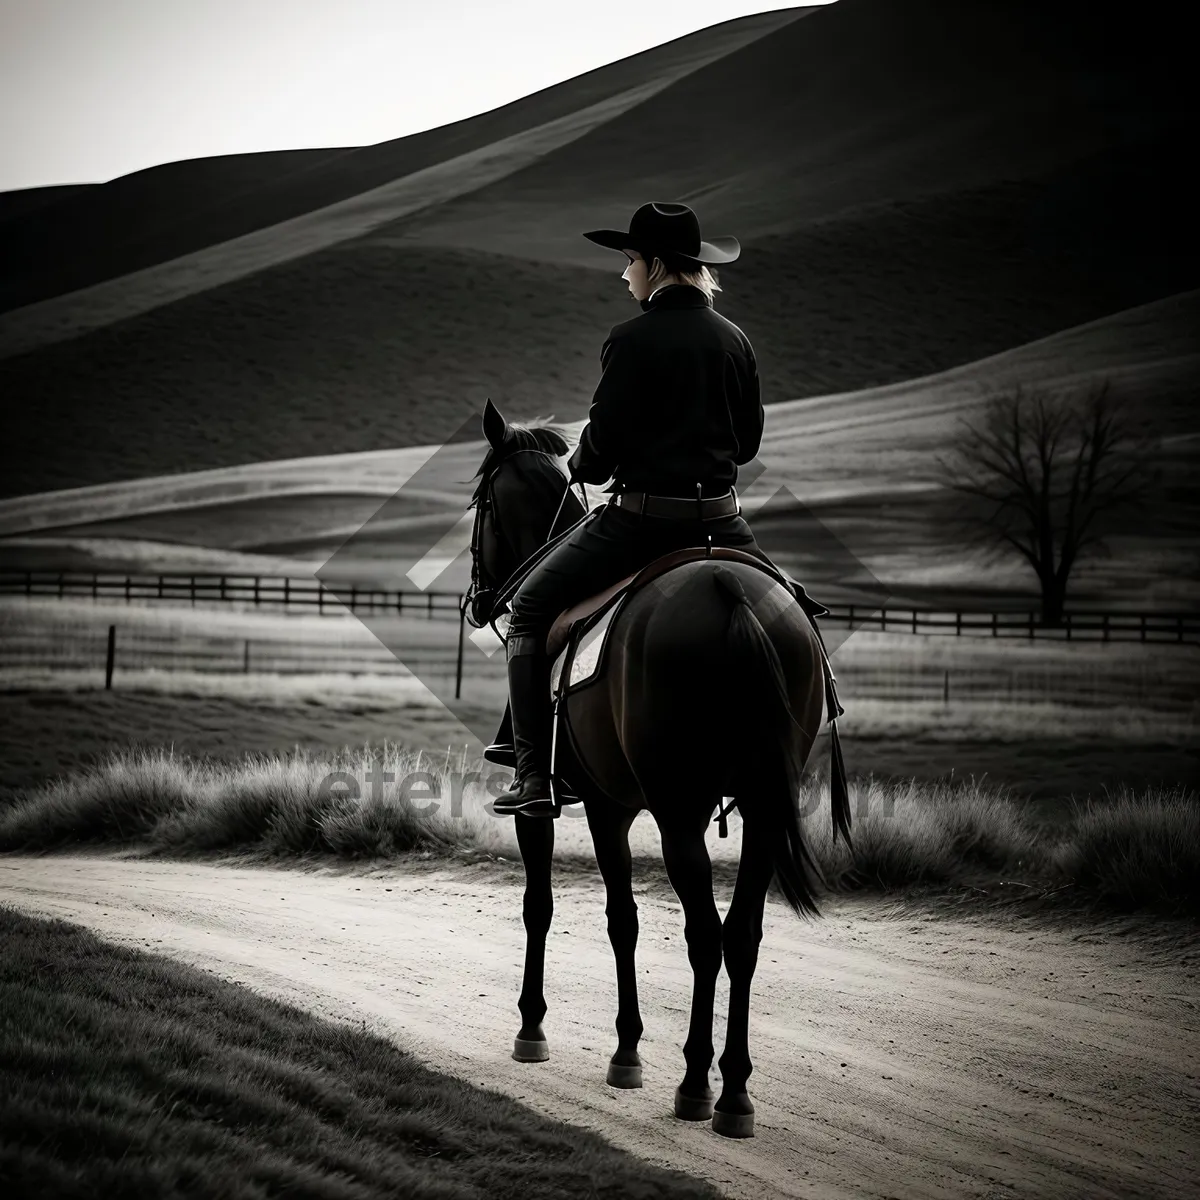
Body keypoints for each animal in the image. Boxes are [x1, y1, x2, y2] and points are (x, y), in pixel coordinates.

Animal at [463, 398, 849, 1137]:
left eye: (480, 504)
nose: (479, 596)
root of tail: (727, 587)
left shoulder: (577, 806)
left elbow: (558, 909)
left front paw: (543, 1031)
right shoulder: (616, 806)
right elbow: (625, 920)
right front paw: (626, 1047)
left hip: (679, 811)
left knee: (704, 934)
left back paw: (696, 1083)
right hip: (762, 806)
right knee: (742, 936)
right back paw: (734, 1093)